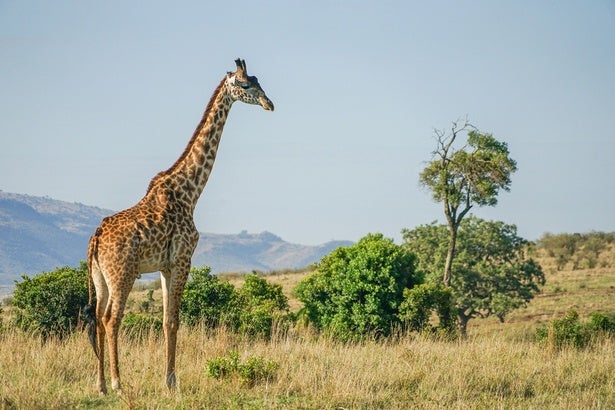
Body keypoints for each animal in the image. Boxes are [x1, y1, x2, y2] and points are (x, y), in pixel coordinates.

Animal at [84, 58, 274, 394]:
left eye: (258, 80)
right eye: (245, 84)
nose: (270, 104)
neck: (190, 192)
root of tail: (95, 239)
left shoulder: (165, 265)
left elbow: (165, 321)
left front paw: (168, 379)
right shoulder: (184, 258)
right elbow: (174, 320)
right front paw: (172, 382)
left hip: (100, 277)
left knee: (97, 318)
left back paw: (101, 384)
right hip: (123, 273)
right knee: (111, 319)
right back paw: (118, 383)